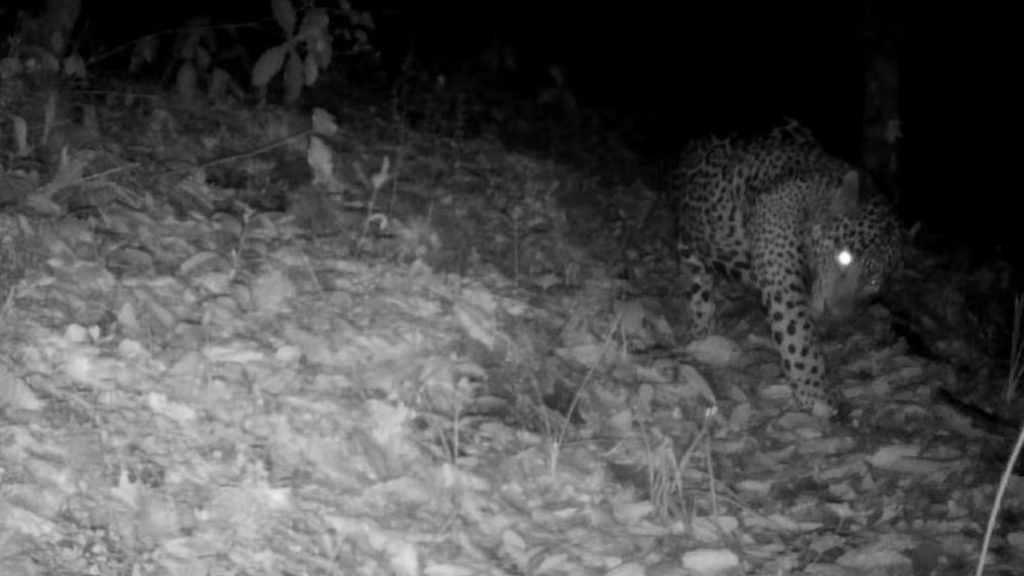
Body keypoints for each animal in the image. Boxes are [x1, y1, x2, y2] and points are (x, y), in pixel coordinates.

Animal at [669, 120, 903, 418]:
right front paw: (817, 394)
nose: (837, 314)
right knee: (699, 282)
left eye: (873, 283)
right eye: (844, 257)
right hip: (687, 241)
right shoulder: (783, 284)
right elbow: (799, 336)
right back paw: (701, 326)